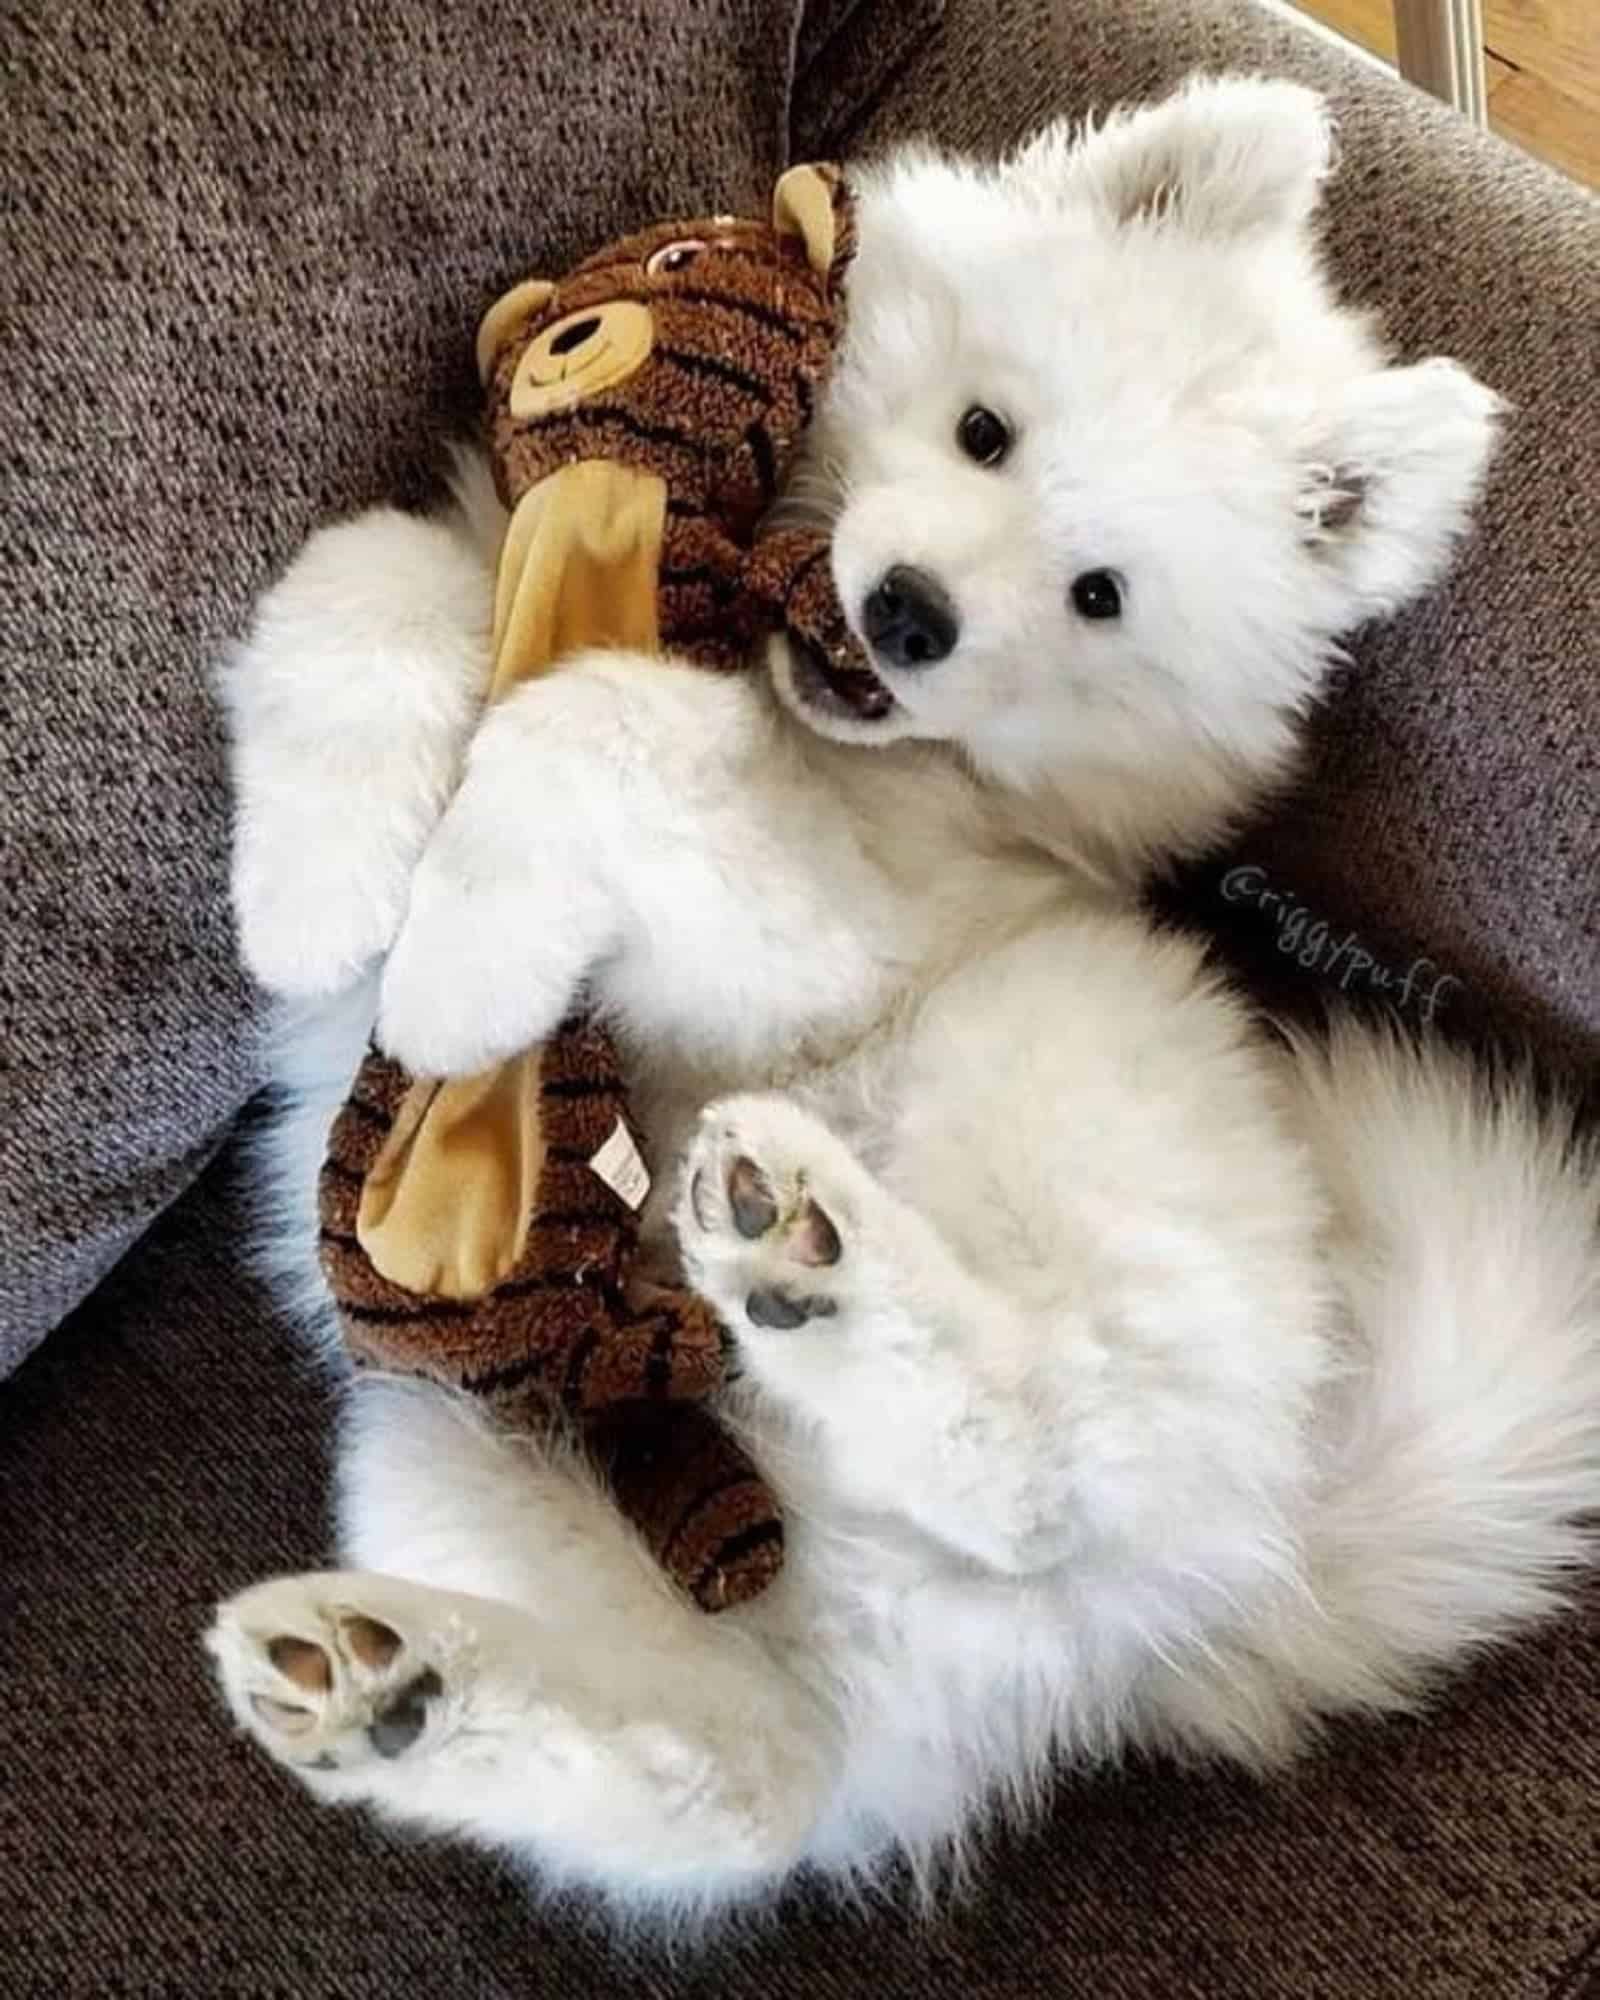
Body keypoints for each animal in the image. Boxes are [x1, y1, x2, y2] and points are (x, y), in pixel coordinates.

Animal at [209, 78, 1600, 1920]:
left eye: (1099, 596)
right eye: (986, 432)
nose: (911, 616)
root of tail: (1199, 1617)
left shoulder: (814, 940)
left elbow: (598, 719)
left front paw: (456, 971)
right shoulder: (466, 558)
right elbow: (372, 573)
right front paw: (316, 889)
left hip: (1060, 1082)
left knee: (1048, 1468)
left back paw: (810, 1257)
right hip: (437, 1435)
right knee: (734, 1777)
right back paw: (394, 1687)